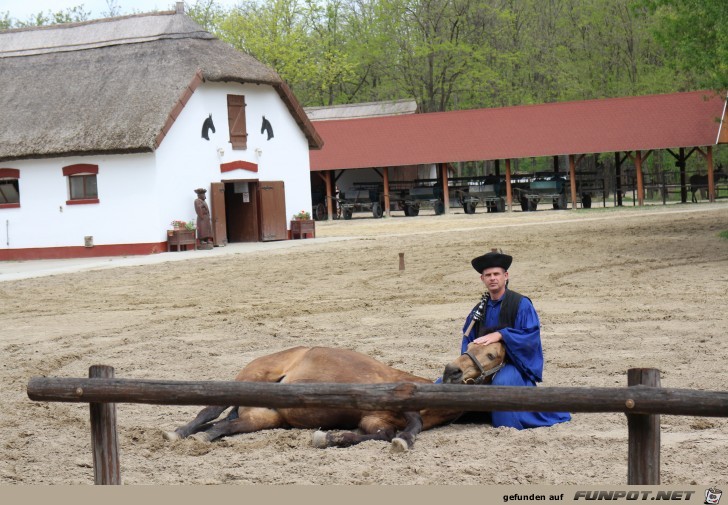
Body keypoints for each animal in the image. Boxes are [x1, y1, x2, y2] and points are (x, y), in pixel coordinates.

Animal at [164, 340, 506, 450]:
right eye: (472, 345)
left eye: (492, 354)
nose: (452, 371)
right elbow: (411, 426)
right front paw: (405, 440)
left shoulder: (372, 421)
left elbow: (380, 434)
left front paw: (330, 437)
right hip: (252, 378)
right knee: (209, 410)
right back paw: (178, 432)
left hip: (262, 416)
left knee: (224, 425)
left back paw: (202, 437)